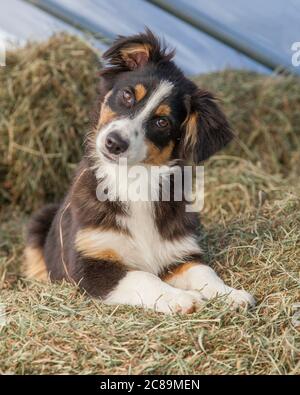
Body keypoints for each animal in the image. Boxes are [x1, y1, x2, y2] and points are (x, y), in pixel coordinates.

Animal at [23, 30, 254, 316]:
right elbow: (144, 277)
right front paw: (182, 298)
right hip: (41, 220)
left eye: (162, 122)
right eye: (127, 95)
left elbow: (204, 272)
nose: (113, 142)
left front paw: (231, 294)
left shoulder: (178, 253)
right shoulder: (88, 266)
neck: (134, 180)